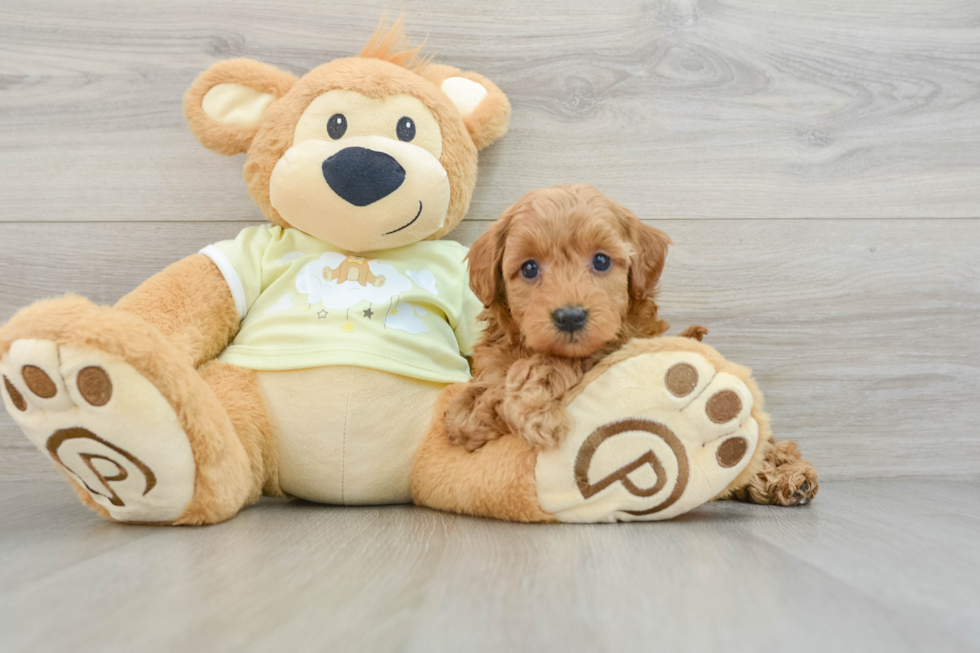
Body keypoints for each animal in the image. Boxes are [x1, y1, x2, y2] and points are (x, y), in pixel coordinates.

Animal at [448, 183, 816, 504]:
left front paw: (536, 410)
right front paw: (498, 412)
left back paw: (788, 476)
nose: (570, 317)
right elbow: (473, 403)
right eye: (528, 268)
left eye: (601, 261)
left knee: (766, 448)